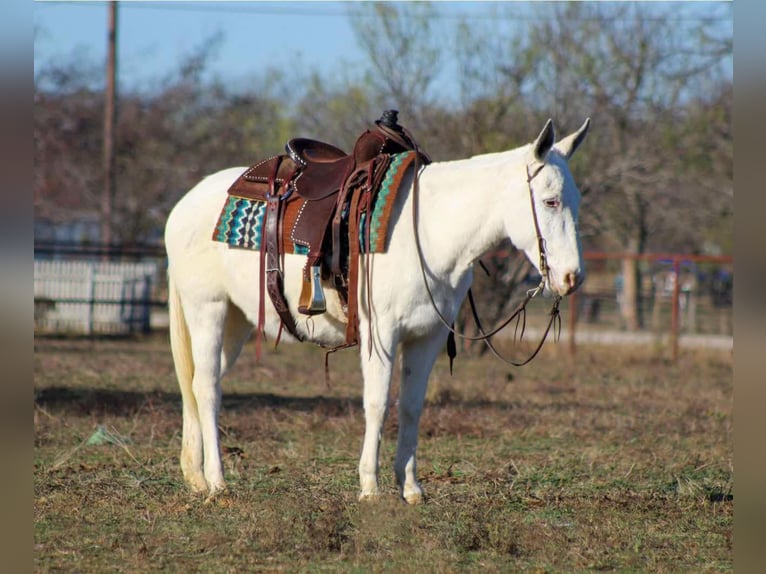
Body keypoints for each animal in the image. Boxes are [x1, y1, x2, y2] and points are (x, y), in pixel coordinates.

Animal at [164, 117, 590, 504]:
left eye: (576, 202)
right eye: (550, 201)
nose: (572, 277)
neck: (430, 232)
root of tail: (182, 206)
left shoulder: (428, 337)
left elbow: (412, 406)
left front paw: (411, 488)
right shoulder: (381, 334)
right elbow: (377, 403)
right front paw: (370, 487)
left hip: (236, 321)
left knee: (200, 383)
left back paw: (196, 477)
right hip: (208, 310)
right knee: (206, 387)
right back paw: (217, 482)